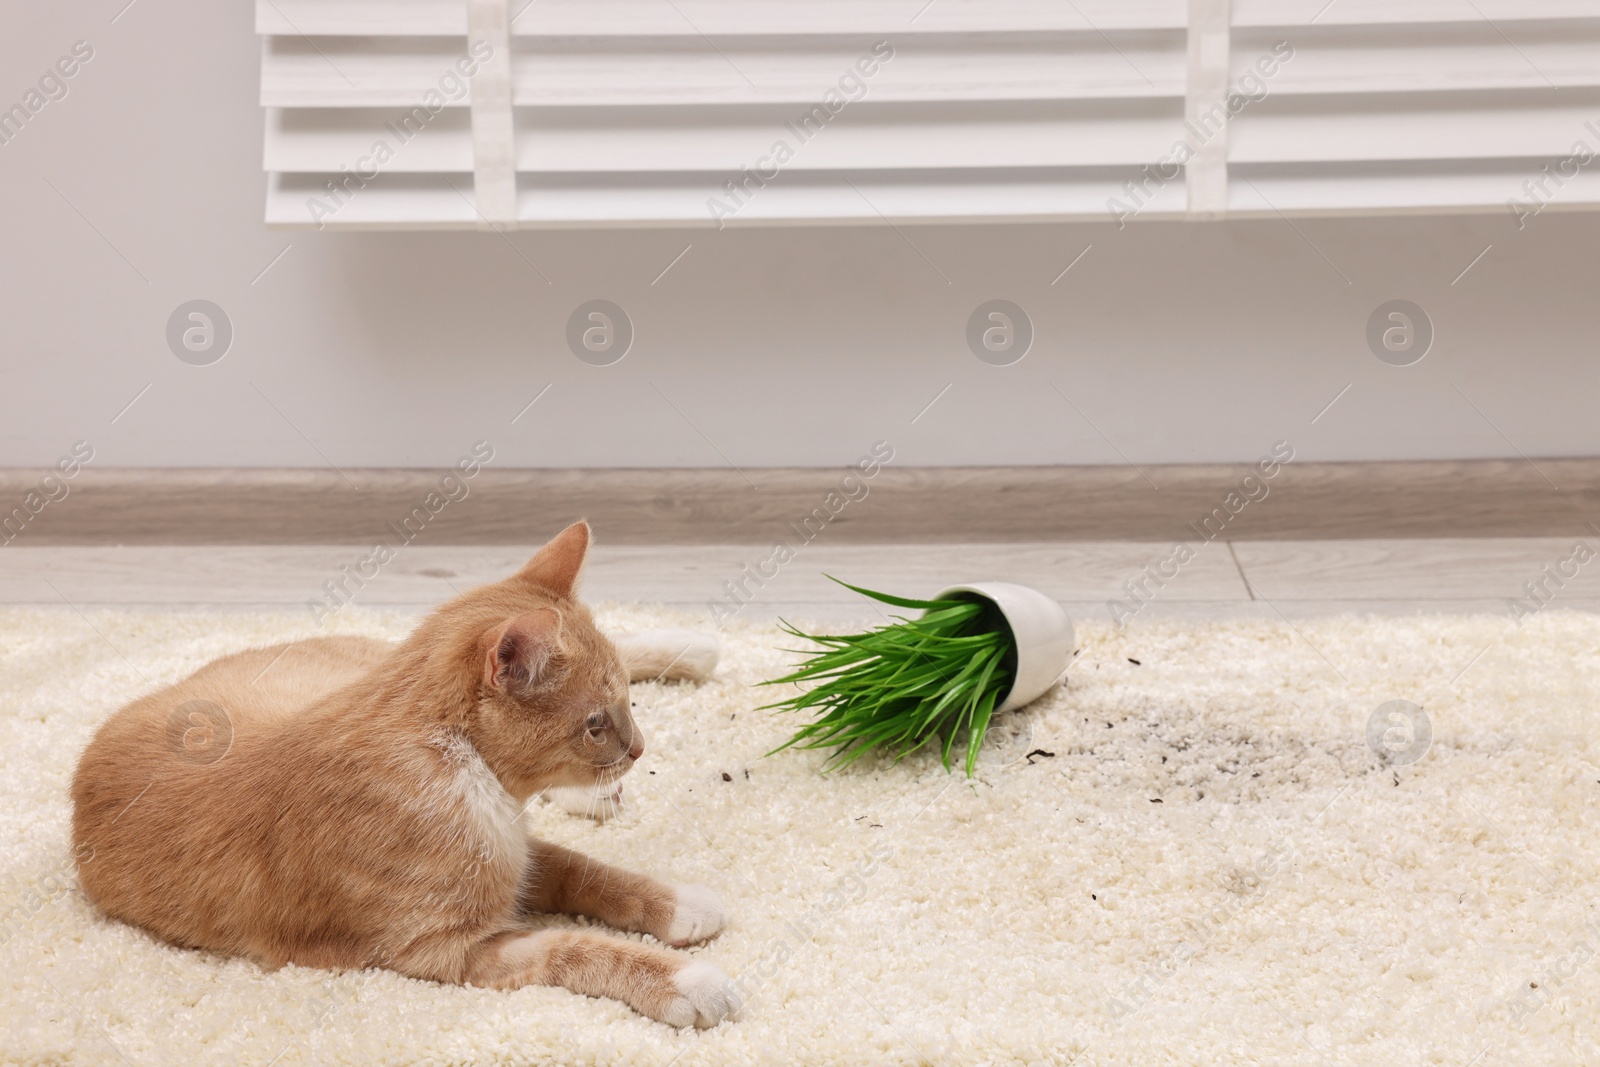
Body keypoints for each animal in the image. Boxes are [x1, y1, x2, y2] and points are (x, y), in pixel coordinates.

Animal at [64, 524, 736, 1023]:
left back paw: (686, 650)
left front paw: (679, 901)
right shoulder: (444, 951)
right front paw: (687, 981)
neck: (461, 765)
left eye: (629, 701)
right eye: (597, 722)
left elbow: (583, 869)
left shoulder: (517, 853)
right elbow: (575, 946)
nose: (640, 750)